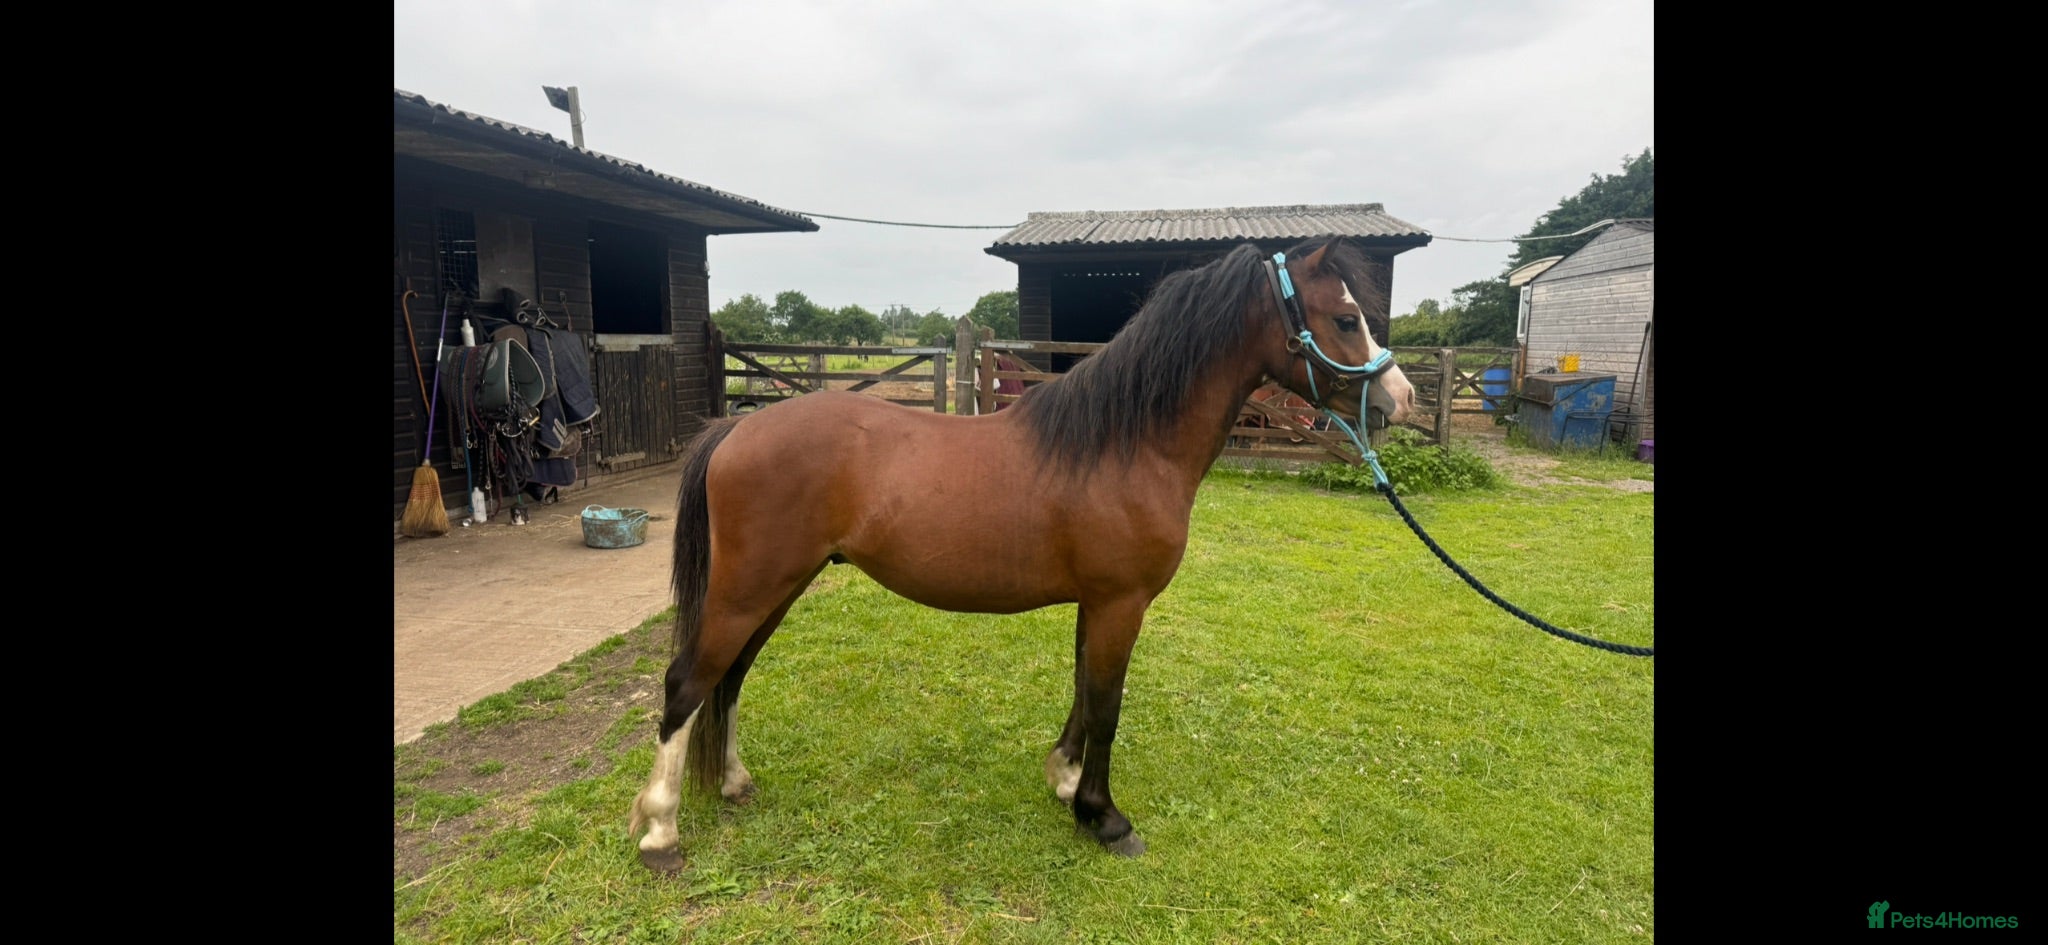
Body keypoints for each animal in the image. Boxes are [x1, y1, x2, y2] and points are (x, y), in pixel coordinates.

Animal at [628, 237, 1416, 871]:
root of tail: (734, 429)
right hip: (750, 587)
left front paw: (1065, 781)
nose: (1400, 399)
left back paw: (733, 783)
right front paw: (1105, 818)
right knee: (687, 684)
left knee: (727, 681)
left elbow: (1082, 692)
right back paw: (661, 832)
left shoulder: (1097, 602)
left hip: (776, 587)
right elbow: (1107, 705)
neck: (1125, 444)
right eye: (1346, 319)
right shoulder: (1121, 602)